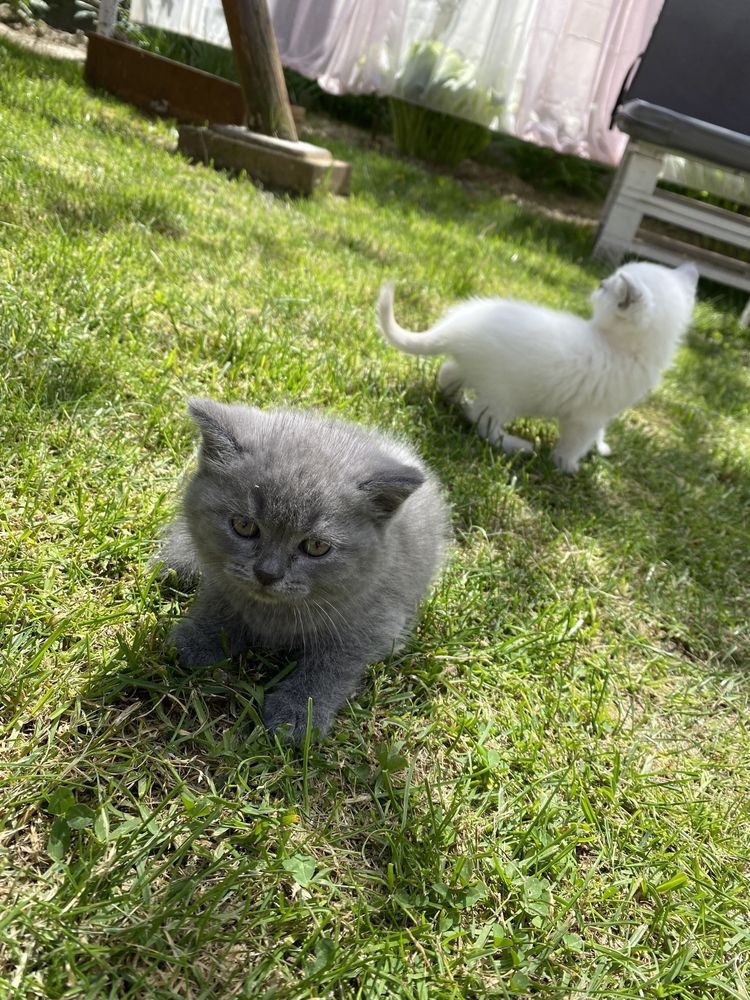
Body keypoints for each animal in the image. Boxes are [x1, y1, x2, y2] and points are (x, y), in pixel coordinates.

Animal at [162, 398, 450, 744]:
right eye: (244, 525)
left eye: (316, 546)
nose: (267, 573)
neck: (277, 615)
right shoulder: (221, 578)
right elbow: (220, 602)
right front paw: (200, 640)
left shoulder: (378, 623)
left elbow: (330, 665)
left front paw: (298, 713)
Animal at [378, 262, 704, 472]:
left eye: (607, 288)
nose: (599, 283)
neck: (618, 345)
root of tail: (457, 328)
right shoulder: (586, 416)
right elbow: (574, 442)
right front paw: (567, 465)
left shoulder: (598, 412)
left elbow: (595, 435)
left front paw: (599, 448)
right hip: (503, 394)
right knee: (482, 421)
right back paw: (514, 444)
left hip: (474, 372)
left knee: (448, 375)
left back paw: (453, 399)